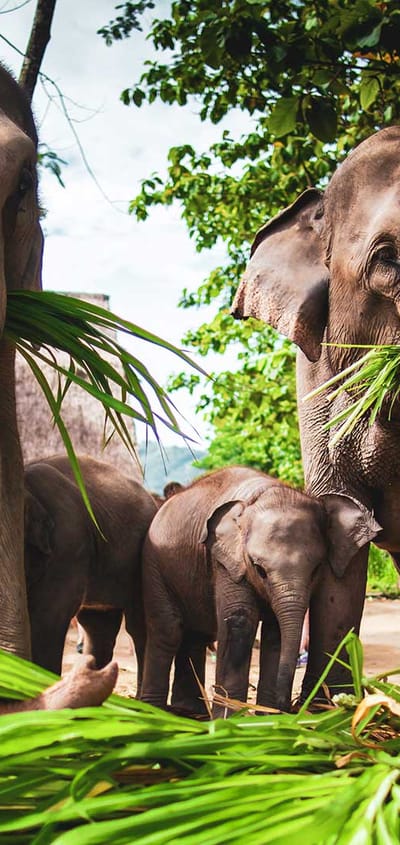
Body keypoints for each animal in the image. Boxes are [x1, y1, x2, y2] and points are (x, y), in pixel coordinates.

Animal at [140, 465, 373, 715]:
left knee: (196, 635)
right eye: (259, 569)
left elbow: (275, 632)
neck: (265, 492)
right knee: (168, 629)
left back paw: (191, 711)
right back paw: (153, 710)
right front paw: (231, 719)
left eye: (316, 570)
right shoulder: (226, 562)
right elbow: (239, 621)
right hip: (153, 565)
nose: (287, 706)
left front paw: (267, 716)